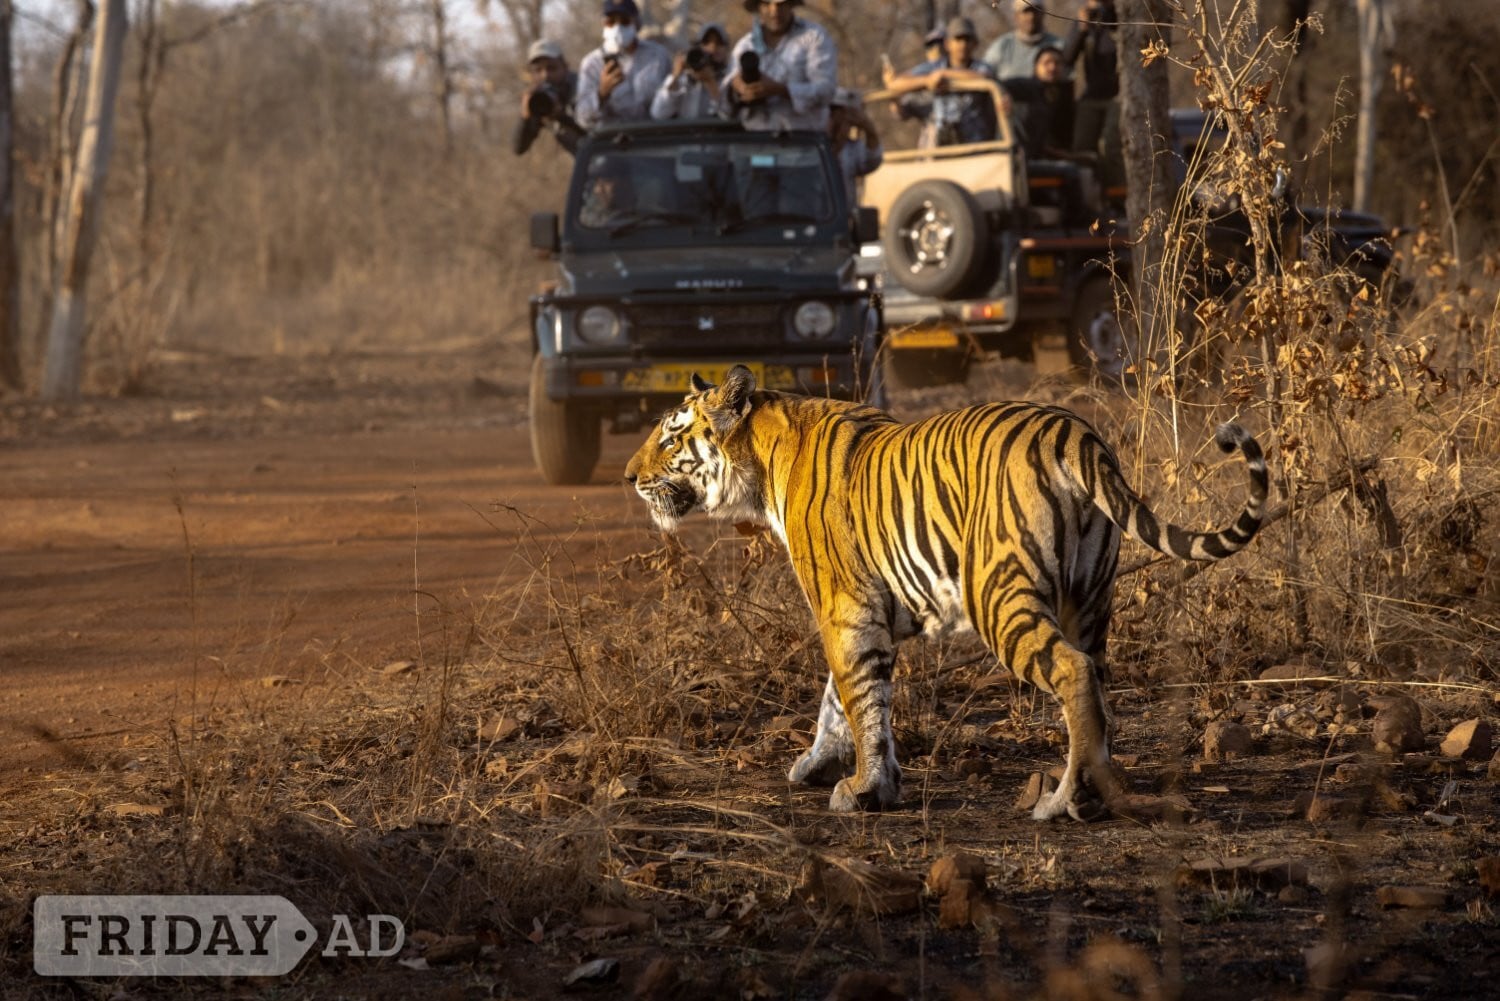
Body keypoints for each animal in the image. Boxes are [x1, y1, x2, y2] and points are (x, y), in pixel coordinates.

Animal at [625, 365, 1267, 820]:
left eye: (672, 436)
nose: (630, 476)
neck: (760, 460)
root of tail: (1076, 432)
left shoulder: (845, 609)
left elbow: (860, 697)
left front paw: (865, 788)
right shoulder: (872, 610)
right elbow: (839, 696)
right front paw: (819, 764)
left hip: (998, 595)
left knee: (1073, 673)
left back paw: (1065, 801)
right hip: (1090, 599)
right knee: (1097, 685)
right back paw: (1090, 789)